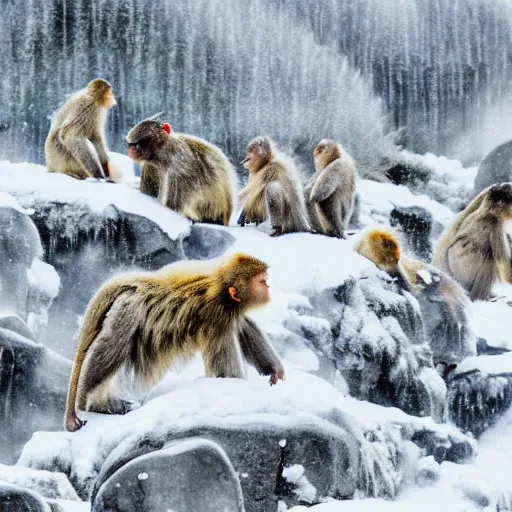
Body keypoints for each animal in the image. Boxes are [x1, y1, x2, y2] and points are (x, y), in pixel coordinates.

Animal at [64, 252, 286, 432]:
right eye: (261, 281)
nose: (268, 286)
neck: (223, 291)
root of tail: (138, 284)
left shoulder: (230, 311)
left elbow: (243, 326)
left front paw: (273, 369)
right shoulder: (218, 318)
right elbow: (226, 373)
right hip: (129, 310)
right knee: (112, 344)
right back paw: (87, 403)